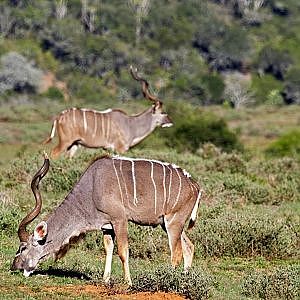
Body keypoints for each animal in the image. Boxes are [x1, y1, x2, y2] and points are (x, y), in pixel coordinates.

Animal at [12, 154, 203, 284]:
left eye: (23, 248)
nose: (14, 267)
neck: (92, 188)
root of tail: (195, 185)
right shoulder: (107, 226)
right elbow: (108, 249)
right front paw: (105, 280)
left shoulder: (120, 220)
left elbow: (123, 252)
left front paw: (128, 283)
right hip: (169, 224)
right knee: (189, 246)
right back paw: (183, 280)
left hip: (173, 223)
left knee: (176, 252)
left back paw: (169, 280)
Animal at [43, 66, 172, 158]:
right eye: (162, 112)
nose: (170, 122)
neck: (131, 124)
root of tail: (58, 117)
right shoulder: (120, 148)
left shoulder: (108, 149)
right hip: (65, 142)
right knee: (53, 153)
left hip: (74, 144)